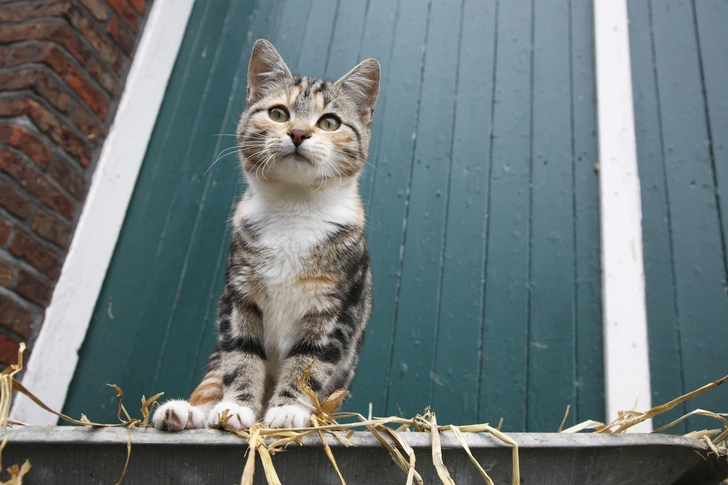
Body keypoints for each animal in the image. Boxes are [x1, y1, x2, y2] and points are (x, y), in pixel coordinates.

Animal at [154, 39, 382, 430]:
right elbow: (242, 352)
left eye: (330, 122)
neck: (294, 208)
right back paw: (184, 412)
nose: (299, 133)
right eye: (278, 113)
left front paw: (288, 410)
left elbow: (310, 361)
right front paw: (236, 409)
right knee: (214, 377)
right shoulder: (239, 295)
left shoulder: (335, 307)